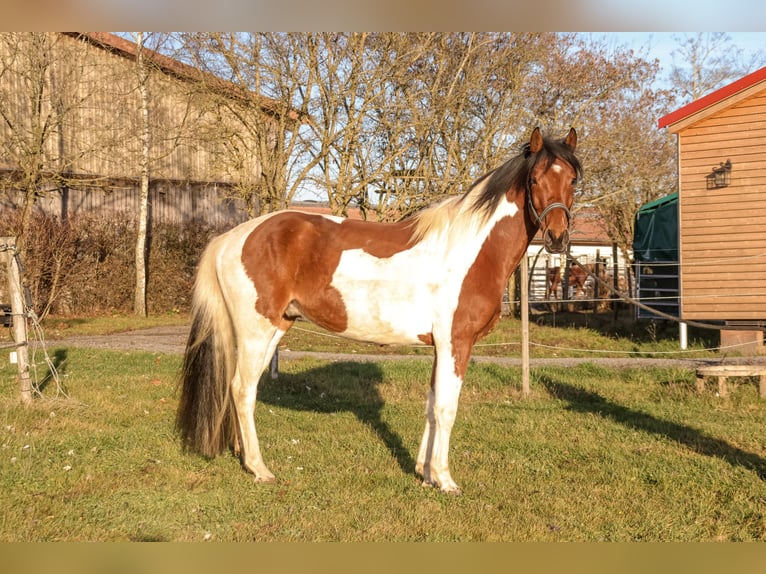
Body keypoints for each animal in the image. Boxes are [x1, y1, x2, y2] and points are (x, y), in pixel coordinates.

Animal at [176, 127, 584, 496]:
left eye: (573, 179)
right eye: (535, 178)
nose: (557, 237)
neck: (470, 251)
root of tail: (231, 238)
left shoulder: (440, 347)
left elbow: (431, 405)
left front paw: (424, 473)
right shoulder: (456, 343)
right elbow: (447, 409)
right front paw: (445, 480)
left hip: (275, 327)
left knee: (241, 387)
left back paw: (243, 456)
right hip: (255, 330)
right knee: (242, 389)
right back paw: (260, 469)